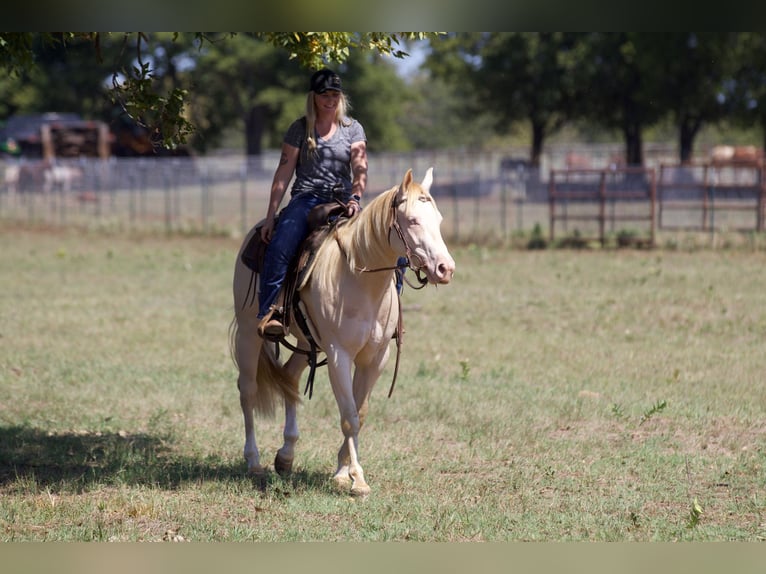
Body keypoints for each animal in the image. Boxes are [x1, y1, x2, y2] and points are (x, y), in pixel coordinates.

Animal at [230, 169, 456, 498]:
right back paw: (254, 460)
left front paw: (340, 472)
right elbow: (348, 415)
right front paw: (357, 479)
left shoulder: (376, 358)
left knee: (290, 378)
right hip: (248, 333)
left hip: (306, 341)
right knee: (247, 391)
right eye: (412, 220)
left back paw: (286, 455)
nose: (445, 268)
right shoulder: (339, 355)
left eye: (438, 220)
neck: (361, 280)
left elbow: (359, 413)